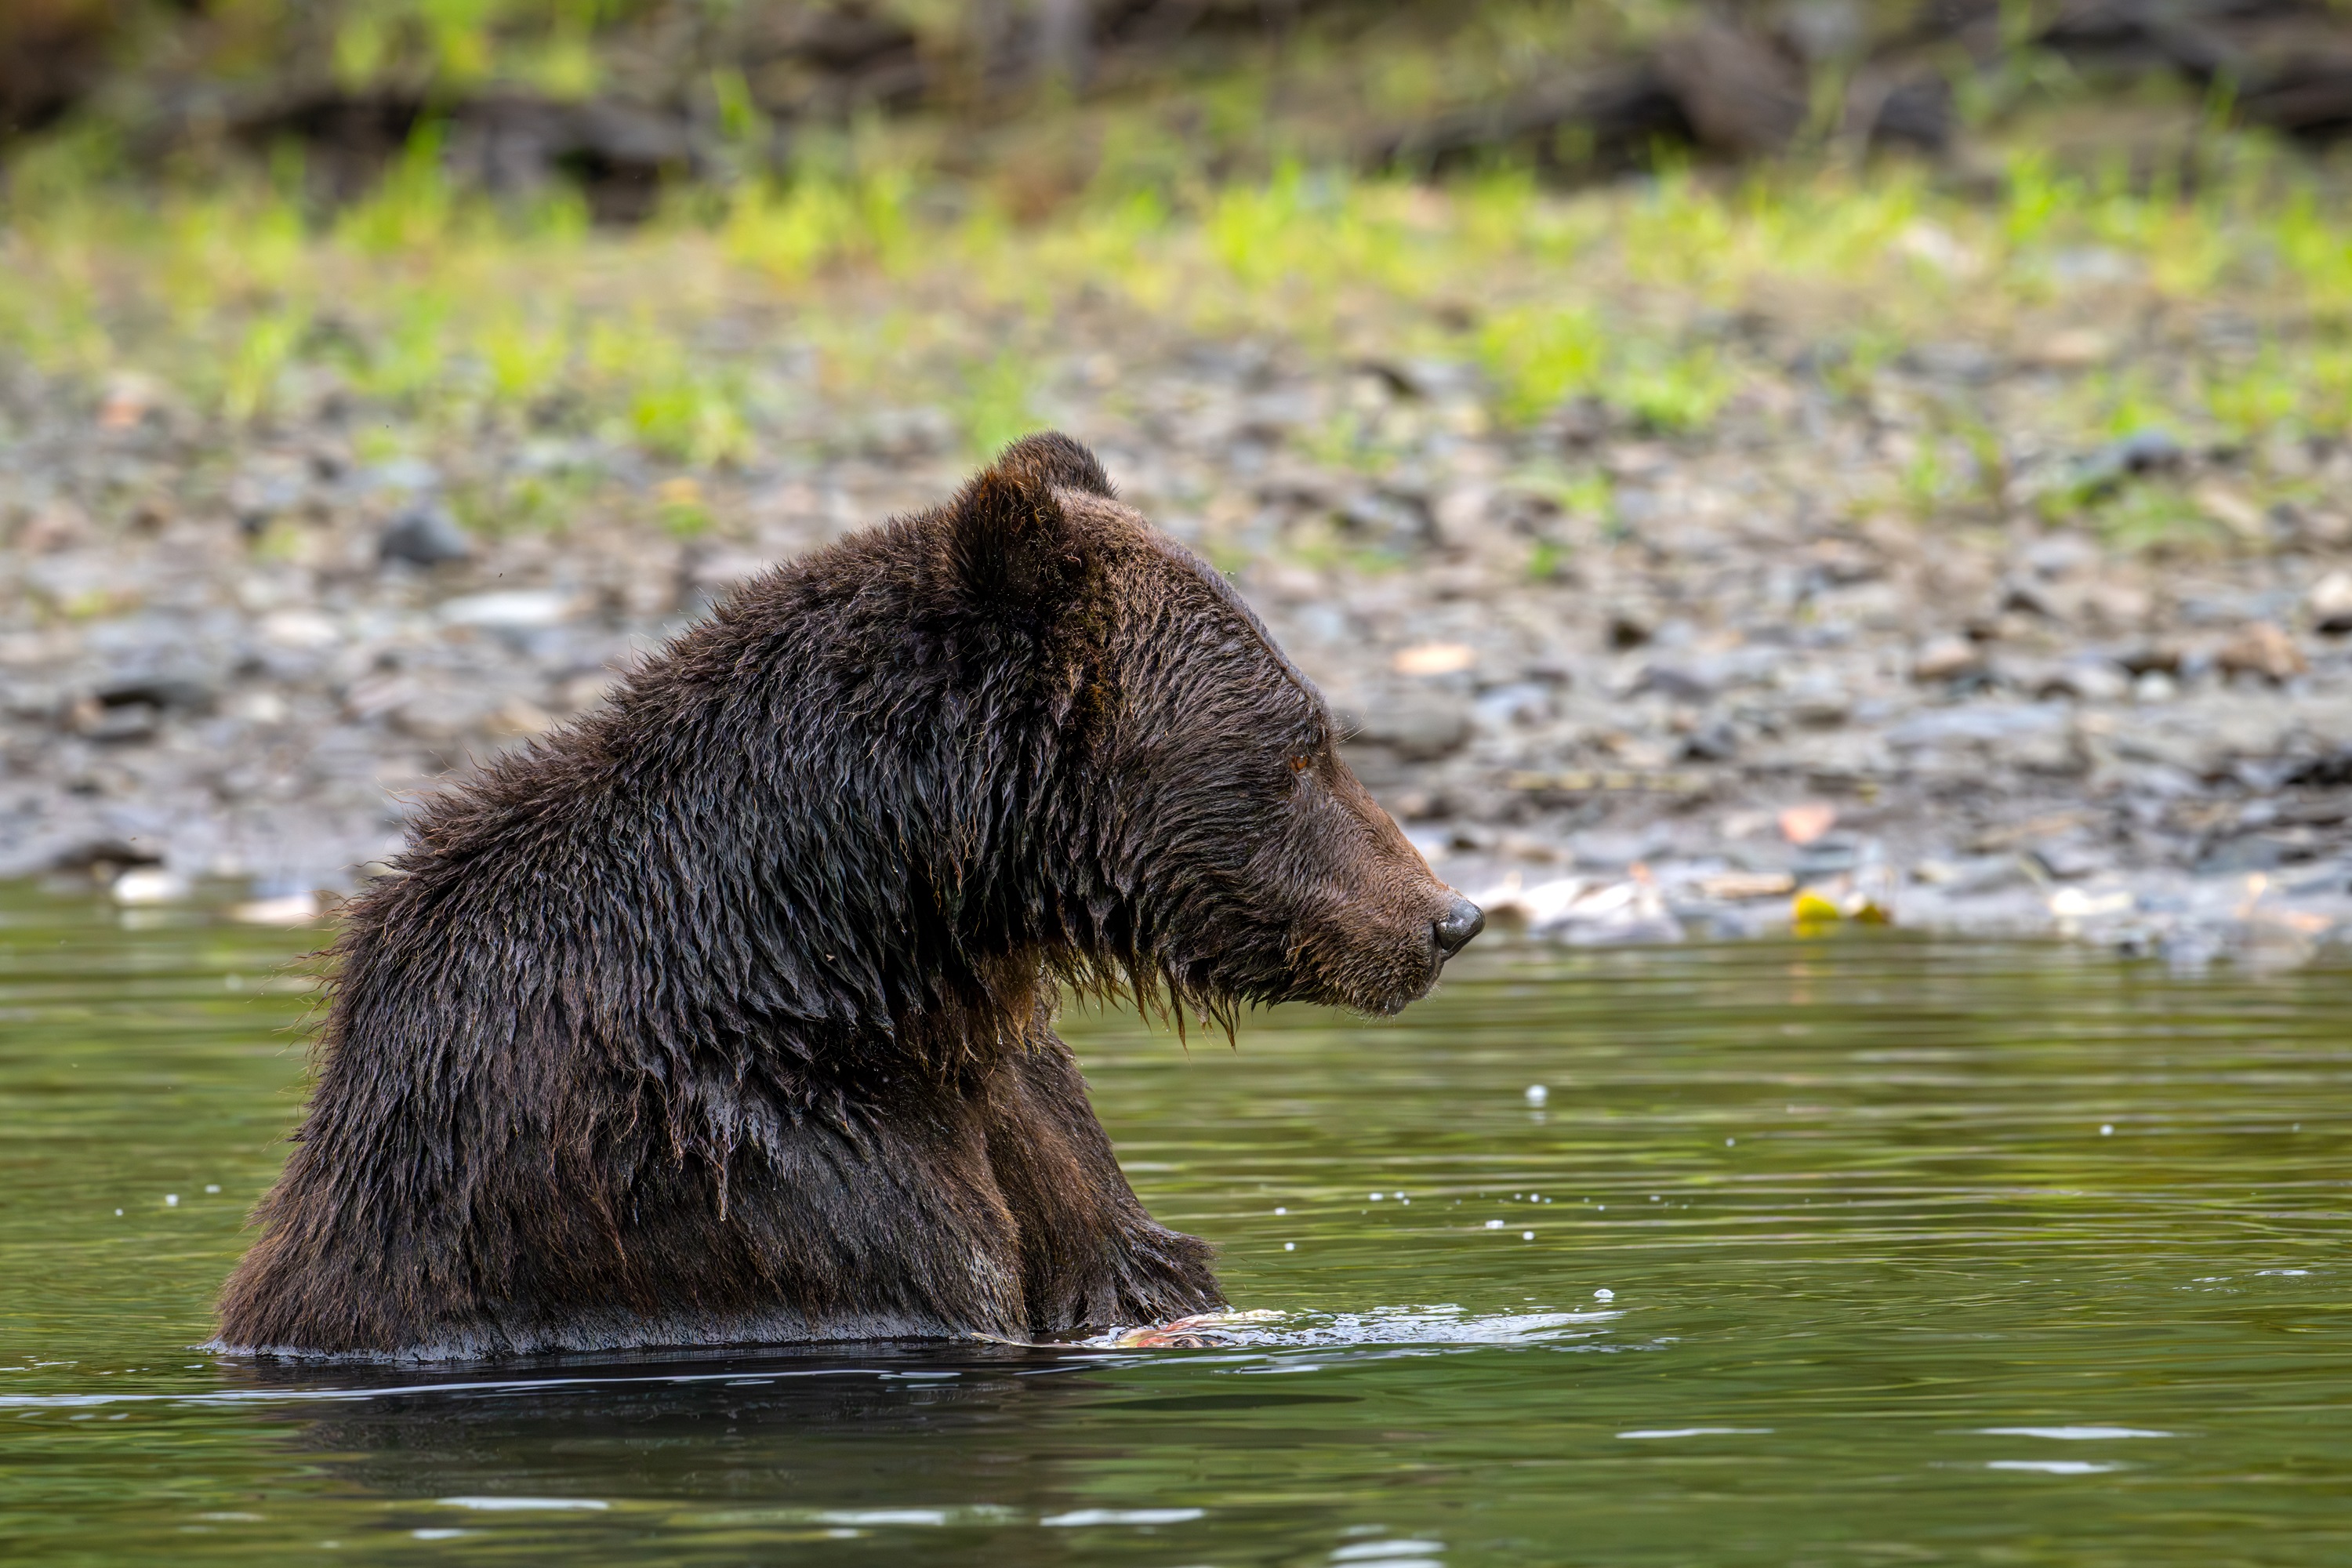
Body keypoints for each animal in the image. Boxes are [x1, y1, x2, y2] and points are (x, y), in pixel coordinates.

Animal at [212, 432, 1477, 1363]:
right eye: (1302, 749)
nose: (1447, 917)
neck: (853, 951)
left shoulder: (1001, 1093)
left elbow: (1129, 1259)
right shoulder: (736, 1169)